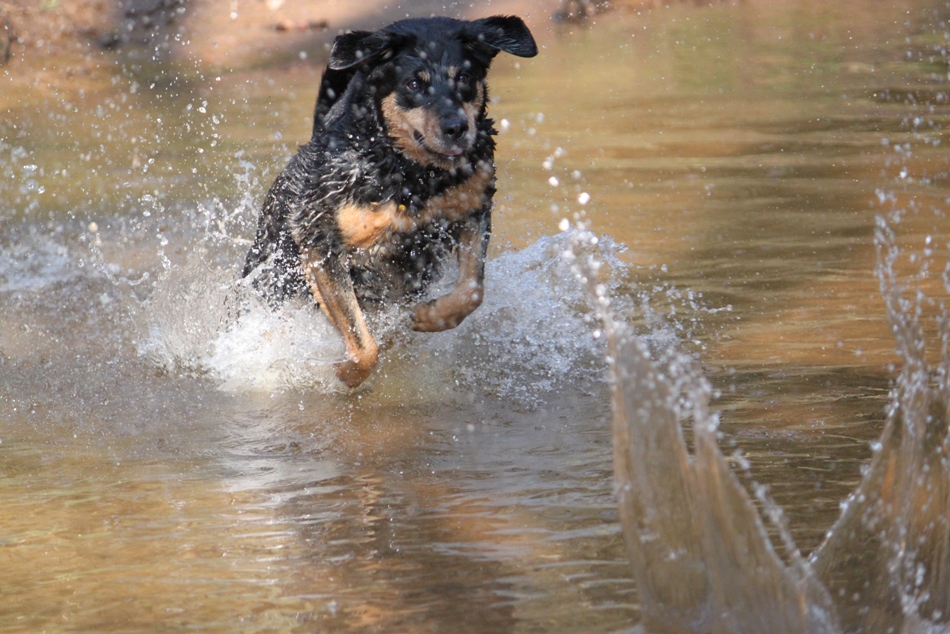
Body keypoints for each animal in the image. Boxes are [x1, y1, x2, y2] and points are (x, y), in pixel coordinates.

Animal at [242, 16, 540, 386]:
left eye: (464, 78)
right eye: (414, 83)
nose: (457, 128)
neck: (412, 176)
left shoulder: (474, 208)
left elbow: (472, 290)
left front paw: (429, 316)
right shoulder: (319, 239)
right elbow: (362, 341)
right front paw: (344, 373)